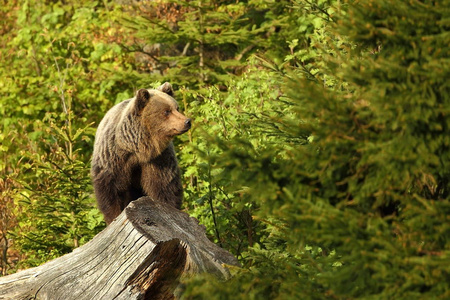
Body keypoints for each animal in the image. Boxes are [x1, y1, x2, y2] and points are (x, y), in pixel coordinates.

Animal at [90, 83, 191, 224]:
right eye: (166, 111)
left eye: (177, 108)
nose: (187, 121)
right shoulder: (113, 158)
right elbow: (110, 190)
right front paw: (113, 216)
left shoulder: (159, 159)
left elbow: (165, 186)